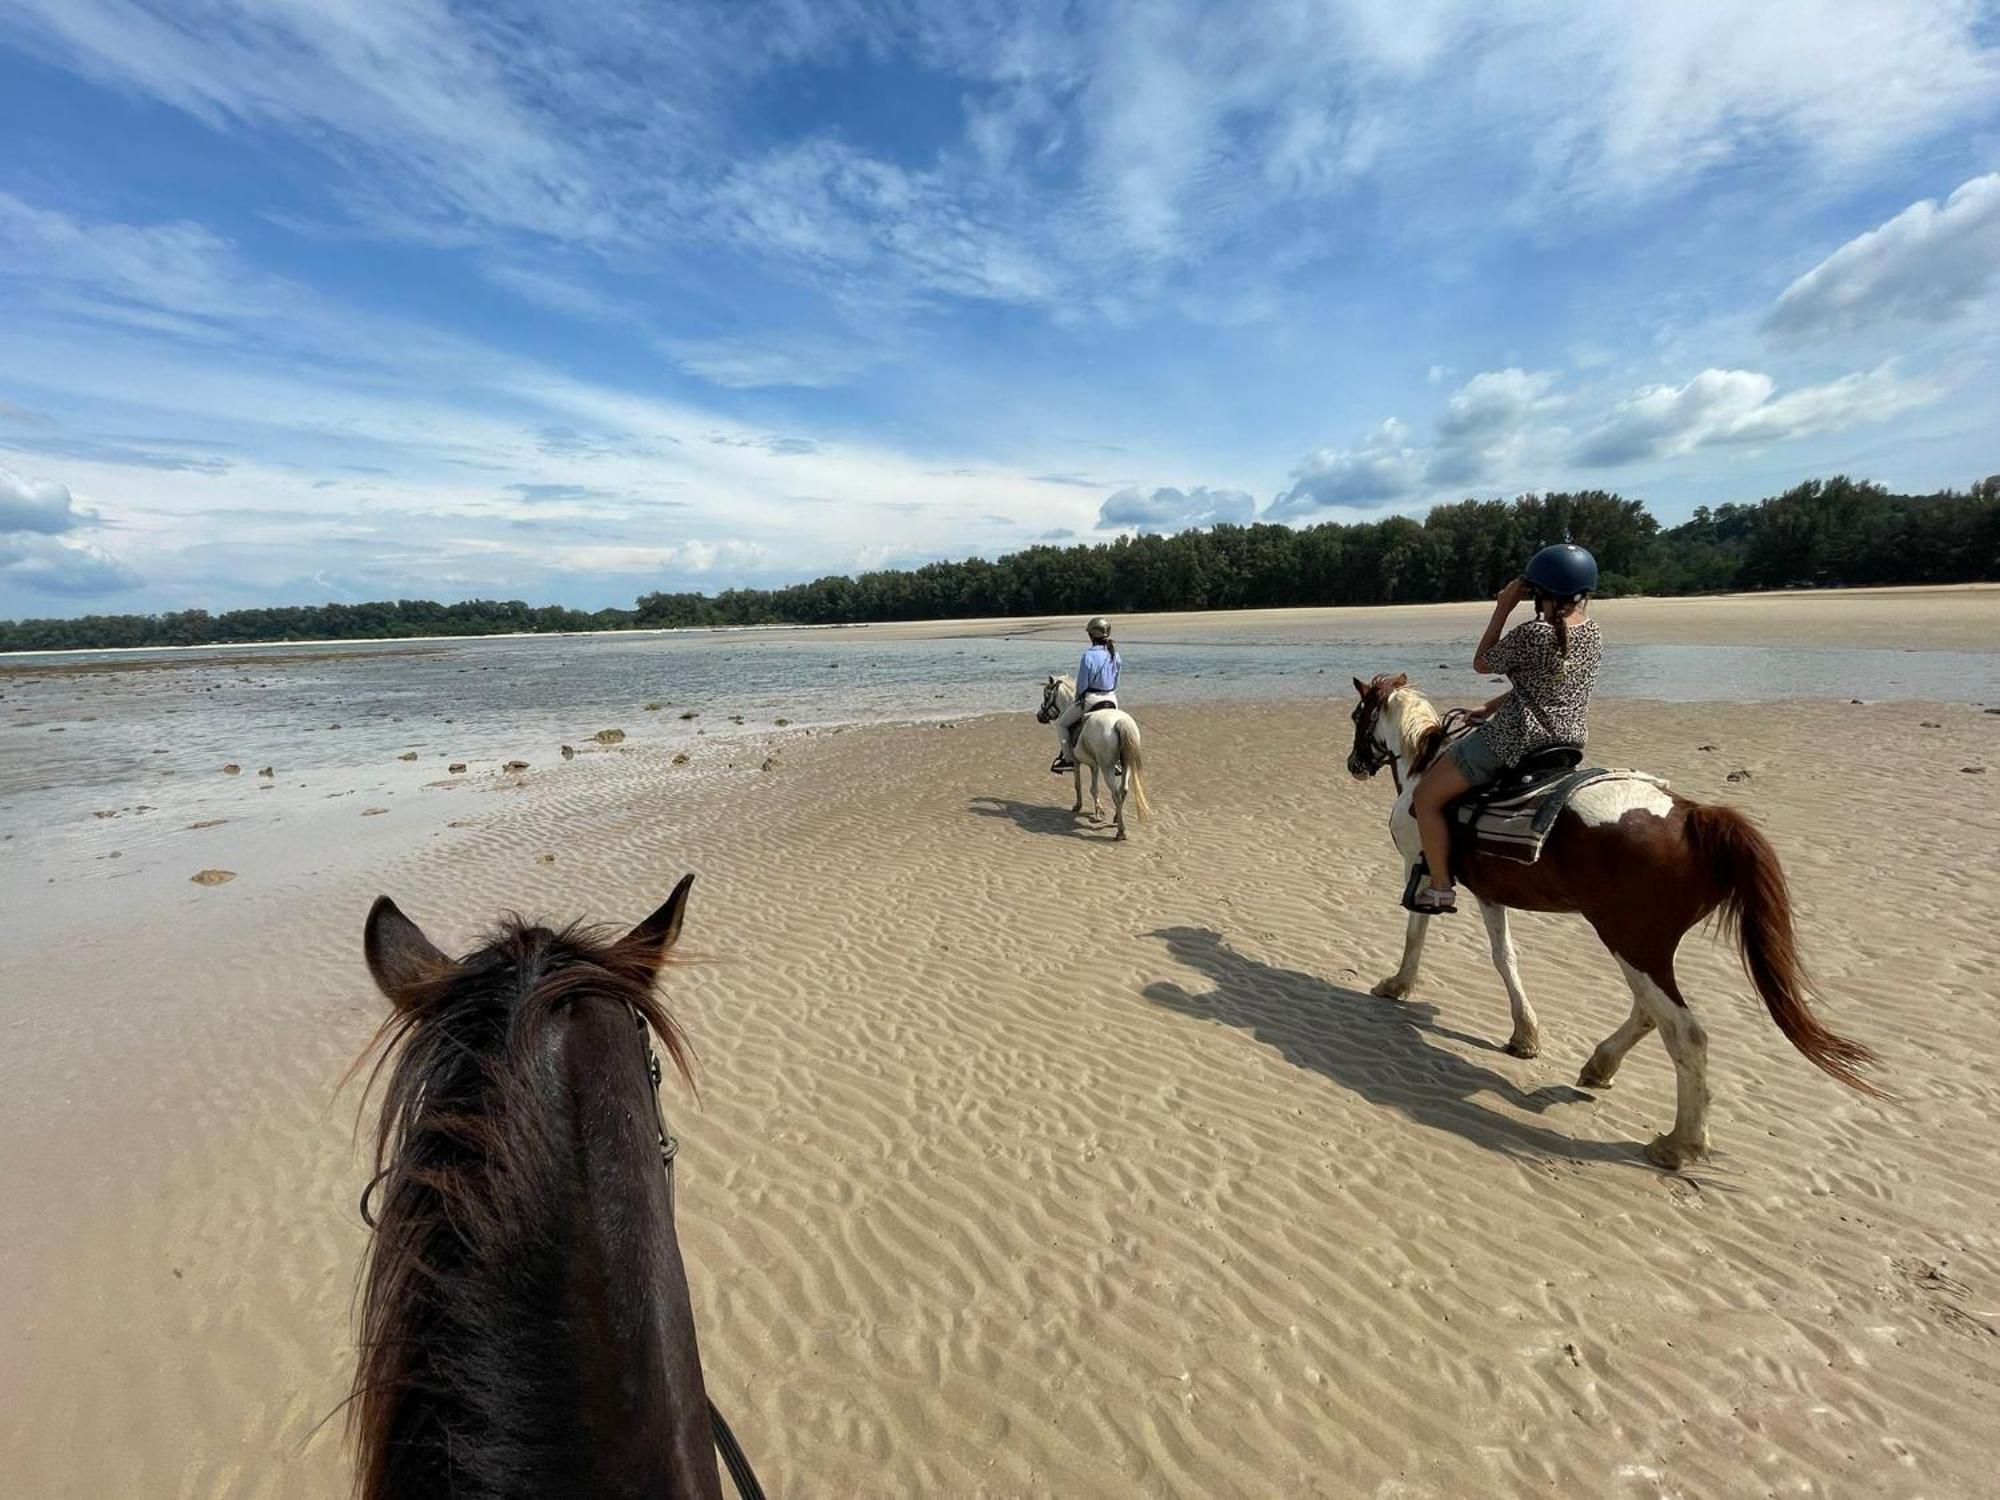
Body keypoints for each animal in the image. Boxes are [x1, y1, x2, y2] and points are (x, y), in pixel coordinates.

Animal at [1040, 680, 1152, 840]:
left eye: (1047, 694)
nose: (1039, 716)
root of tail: (1120, 721)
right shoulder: (1094, 765)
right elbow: (1094, 789)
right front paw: (1098, 811)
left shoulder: (1077, 763)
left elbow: (1078, 785)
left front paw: (1078, 806)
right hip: (1126, 765)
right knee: (1123, 789)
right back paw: (1116, 818)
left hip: (1107, 767)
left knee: (1116, 793)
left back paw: (1120, 831)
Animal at [1344, 672, 1872, 1176]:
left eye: (1357, 714)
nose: (1354, 764)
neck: (1423, 767)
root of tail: (1694, 816)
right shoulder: (1490, 894)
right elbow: (1504, 957)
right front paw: (1525, 1035)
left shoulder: (1420, 867)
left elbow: (1416, 934)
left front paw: (1396, 985)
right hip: (1643, 948)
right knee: (1649, 1012)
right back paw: (1601, 1066)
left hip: (1631, 943)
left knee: (1684, 1032)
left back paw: (1679, 1143)